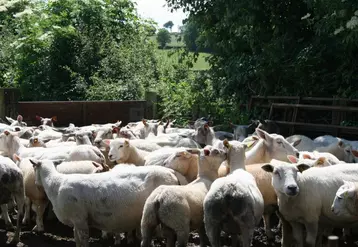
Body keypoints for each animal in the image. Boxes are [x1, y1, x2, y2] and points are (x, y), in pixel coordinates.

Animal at [30, 159, 185, 246]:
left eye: (34, 168)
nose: (36, 184)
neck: (55, 184)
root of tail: (172, 173)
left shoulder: (80, 219)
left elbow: (83, 240)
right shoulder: (77, 221)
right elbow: (77, 240)